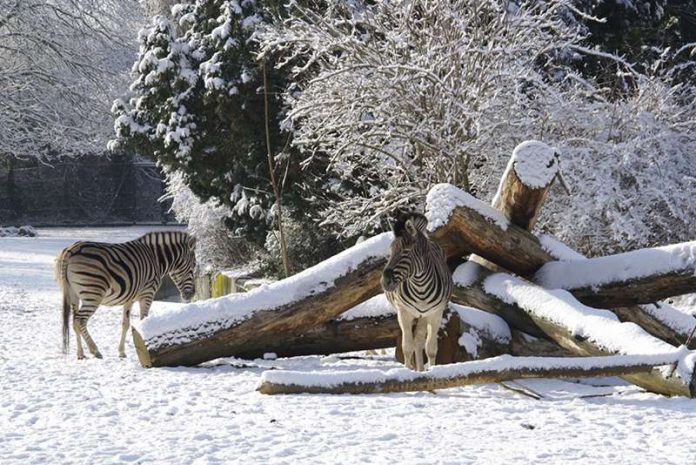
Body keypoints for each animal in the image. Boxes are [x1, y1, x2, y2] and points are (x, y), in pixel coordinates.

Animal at [55, 231, 197, 358]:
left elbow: (125, 324)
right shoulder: (147, 294)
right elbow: (143, 319)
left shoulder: (130, 299)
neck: (155, 259)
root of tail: (71, 249)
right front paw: (146, 343)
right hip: (93, 294)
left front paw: (122, 352)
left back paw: (80, 354)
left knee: (74, 322)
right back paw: (94, 350)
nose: (192, 295)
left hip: (74, 294)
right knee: (80, 321)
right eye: (194, 266)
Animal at [380, 213, 452, 370]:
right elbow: (407, 346)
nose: (385, 282)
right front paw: (407, 371)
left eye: (406, 252)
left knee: (419, 341)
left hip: (423, 316)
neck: (421, 287)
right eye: (391, 251)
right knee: (414, 341)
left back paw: (420, 369)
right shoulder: (403, 313)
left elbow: (431, 348)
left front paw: (432, 371)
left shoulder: (435, 314)